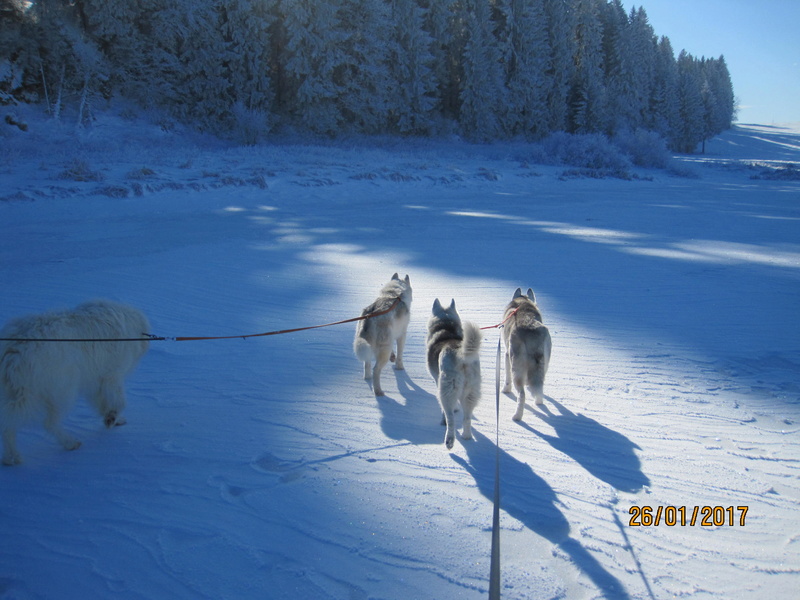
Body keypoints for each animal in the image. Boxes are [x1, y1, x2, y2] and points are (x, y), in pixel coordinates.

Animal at [0, 300, 150, 464]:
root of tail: (15, 351)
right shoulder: (112, 376)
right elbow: (120, 401)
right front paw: (112, 418)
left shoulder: (95, 380)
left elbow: (102, 402)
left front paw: (112, 418)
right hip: (63, 390)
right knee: (49, 423)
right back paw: (70, 443)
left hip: (16, 392)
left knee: (9, 425)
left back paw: (11, 457)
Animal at [424, 298, 482, 448]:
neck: (446, 327)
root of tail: (461, 354)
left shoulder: (437, 380)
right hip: (471, 392)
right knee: (467, 418)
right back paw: (466, 436)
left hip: (447, 389)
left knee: (450, 418)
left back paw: (449, 439)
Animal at [504, 288, 552, 420]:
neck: (522, 302)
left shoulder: (506, 354)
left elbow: (507, 378)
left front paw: (505, 390)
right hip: (544, 364)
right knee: (539, 387)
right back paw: (539, 402)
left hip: (516, 368)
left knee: (522, 394)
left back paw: (517, 417)